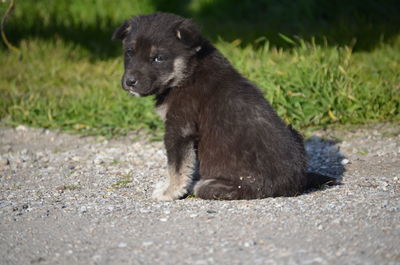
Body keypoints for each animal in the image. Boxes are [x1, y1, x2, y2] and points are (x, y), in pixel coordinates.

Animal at [112, 12, 334, 200]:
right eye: (129, 52)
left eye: (158, 58)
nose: (129, 82)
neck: (188, 72)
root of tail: (294, 184)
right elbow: (189, 163)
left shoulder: (180, 128)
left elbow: (176, 166)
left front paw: (170, 192)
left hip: (229, 186)